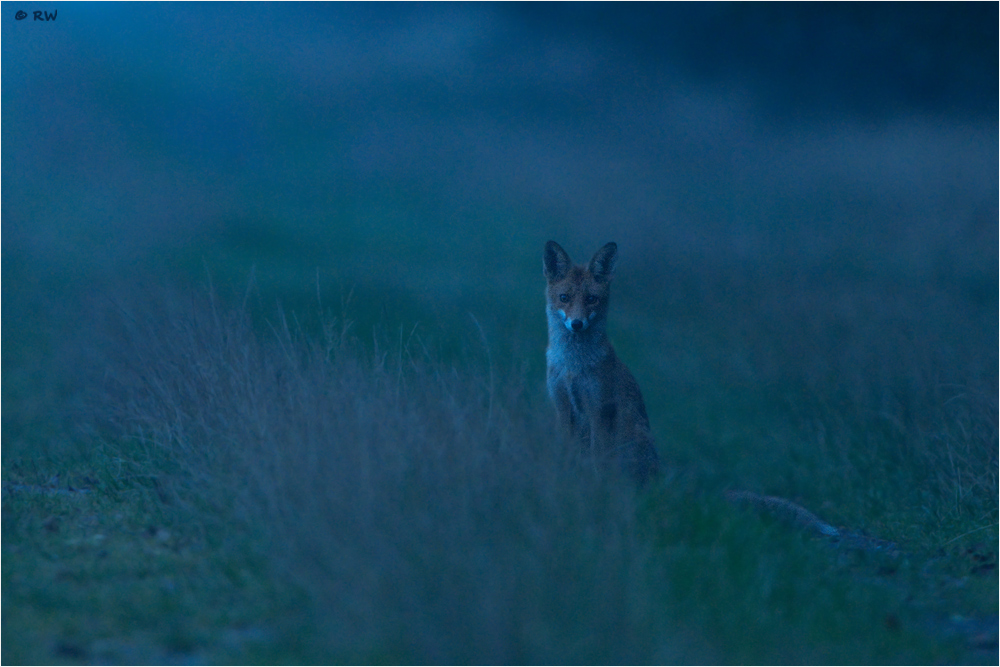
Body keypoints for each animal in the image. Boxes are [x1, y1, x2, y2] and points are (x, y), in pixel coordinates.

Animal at [544, 240, 660, 486]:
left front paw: (598, 486)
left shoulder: (598, 408)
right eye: (564, 298)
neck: (572, 367)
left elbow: (599, 456)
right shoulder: (561, 404)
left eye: (591, 299)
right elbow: (565, 449)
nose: (576, 324)